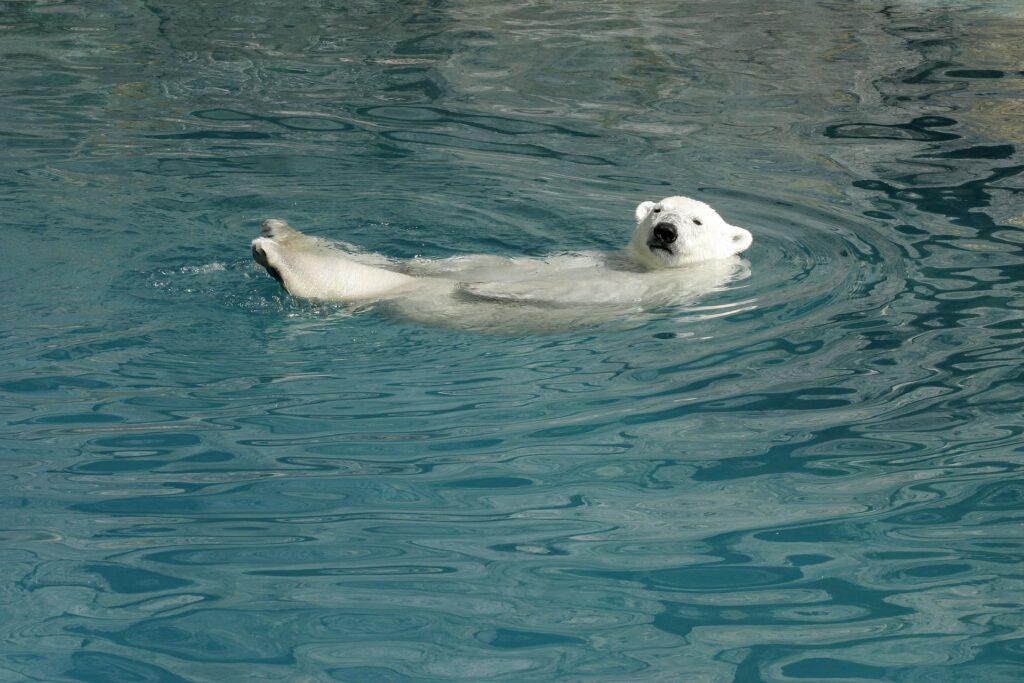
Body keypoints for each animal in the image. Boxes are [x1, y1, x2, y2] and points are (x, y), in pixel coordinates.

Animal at [248, 194, 753, 331]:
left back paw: (277, 257)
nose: (665, 230)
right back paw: (278, 233)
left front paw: (490, 290)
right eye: (656, 209)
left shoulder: (658, 289)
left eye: (696, 220)